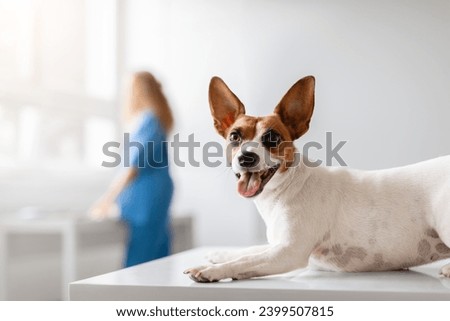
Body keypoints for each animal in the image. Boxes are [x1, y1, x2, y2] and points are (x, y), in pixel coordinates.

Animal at [183, 75, 450, 280]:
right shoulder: (278, 245)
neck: (286, 189)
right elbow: (247, 251)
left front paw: (210, 270)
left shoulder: (287, 253)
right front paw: (218, 255)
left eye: (272, 138)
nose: (246, 157)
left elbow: (245, 261)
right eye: (235, 137)